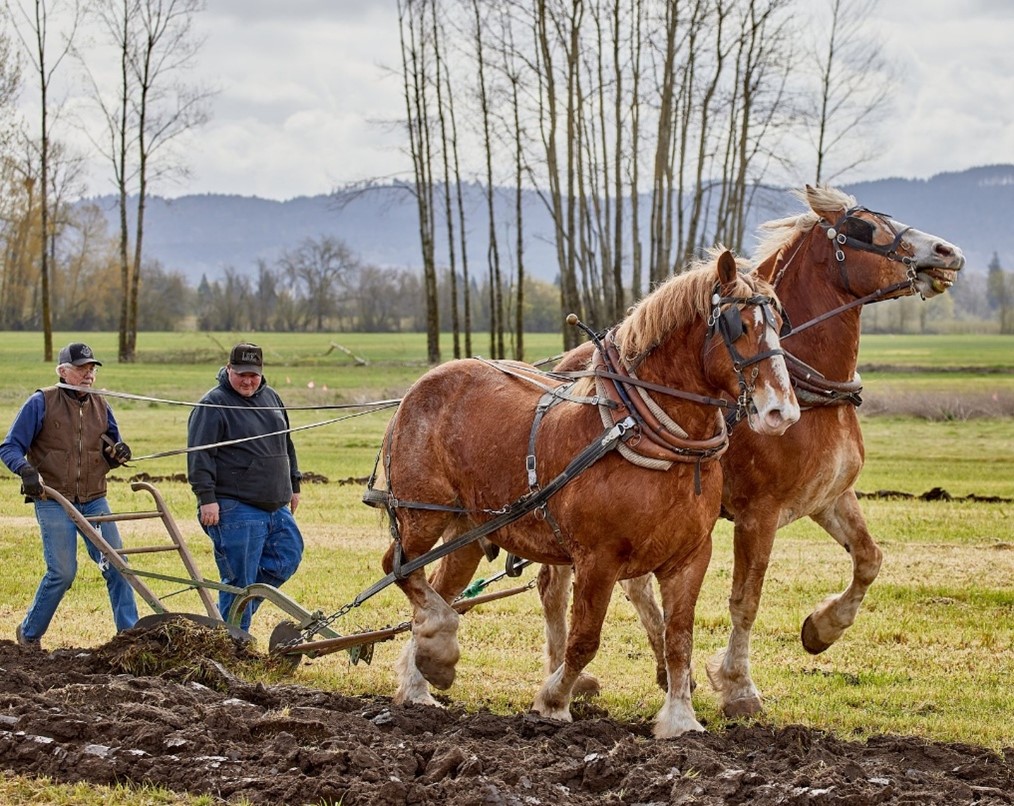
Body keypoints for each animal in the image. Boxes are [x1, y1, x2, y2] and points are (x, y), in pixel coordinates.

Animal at [369, 250, 800, 737]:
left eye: (779, 323)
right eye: (738, 325)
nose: (782, 411)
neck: (636, 430)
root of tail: (420, 386)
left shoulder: (690, 557)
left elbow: (678, 640)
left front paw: (680, 718)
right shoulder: (598, 559)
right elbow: (584, 640)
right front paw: (554, 701)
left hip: (468, 532)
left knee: (436, 589)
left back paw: (421, 674)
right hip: (422, 514)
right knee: (400, 569)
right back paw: (437, 646)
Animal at [539, 184, 966, 717]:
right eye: (863, 229)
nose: (947, 252)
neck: (807, 386)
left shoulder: (828, 497)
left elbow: (869, 559)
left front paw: (822, 628)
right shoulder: (757, 515)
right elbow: (746, 599)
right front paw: (738, 685)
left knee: (626, 583)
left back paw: (655, 670)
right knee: (556, 587)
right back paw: (568, 676)